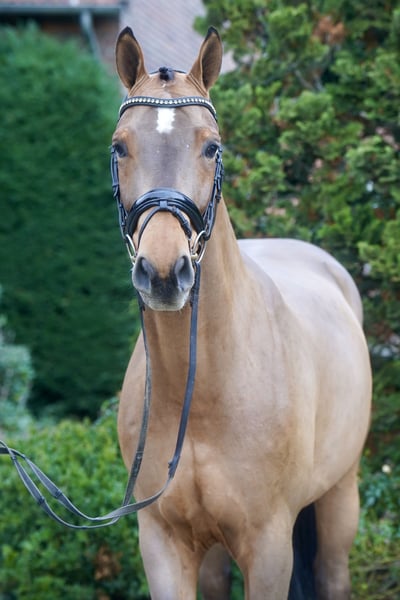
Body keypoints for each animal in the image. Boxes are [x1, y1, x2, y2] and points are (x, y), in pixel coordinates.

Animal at [113, 26, 372, 600]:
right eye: (120, 147)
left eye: (212, 146)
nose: (163, 273)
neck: (205, 391)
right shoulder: (163, 543)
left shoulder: (269, 545)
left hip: (340, 497)